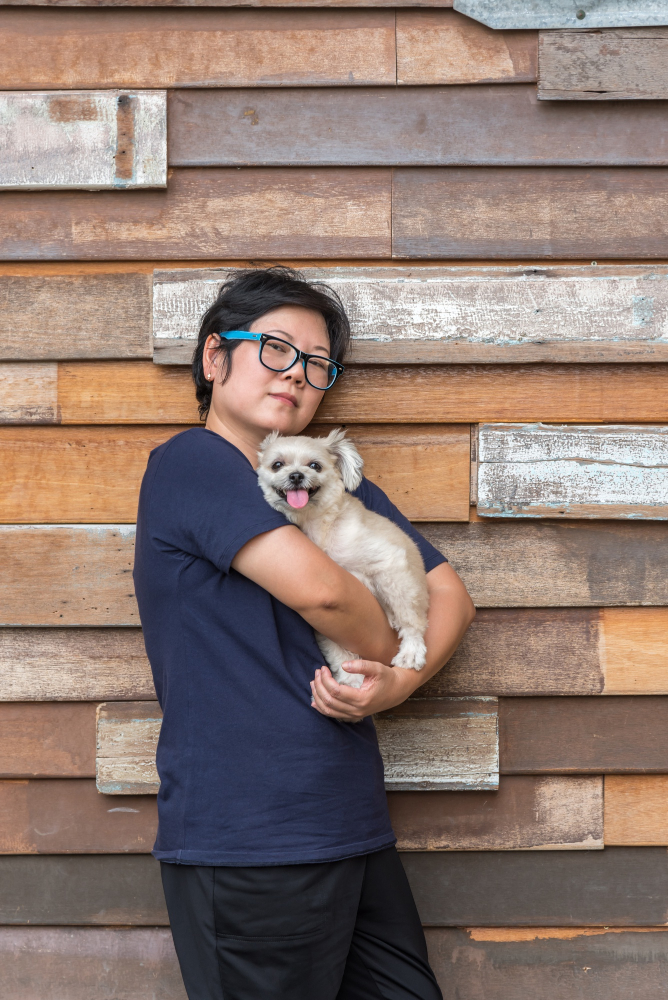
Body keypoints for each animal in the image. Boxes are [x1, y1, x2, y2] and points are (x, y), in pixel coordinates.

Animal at [256, 426, 428, 684]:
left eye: (315, 465)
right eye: (277, 465)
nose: (296, 475)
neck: (318, 526)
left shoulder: (390, 563)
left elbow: (409, 615)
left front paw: (412, 650)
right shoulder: (327, 624)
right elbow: (339, 652)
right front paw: (351, 681)